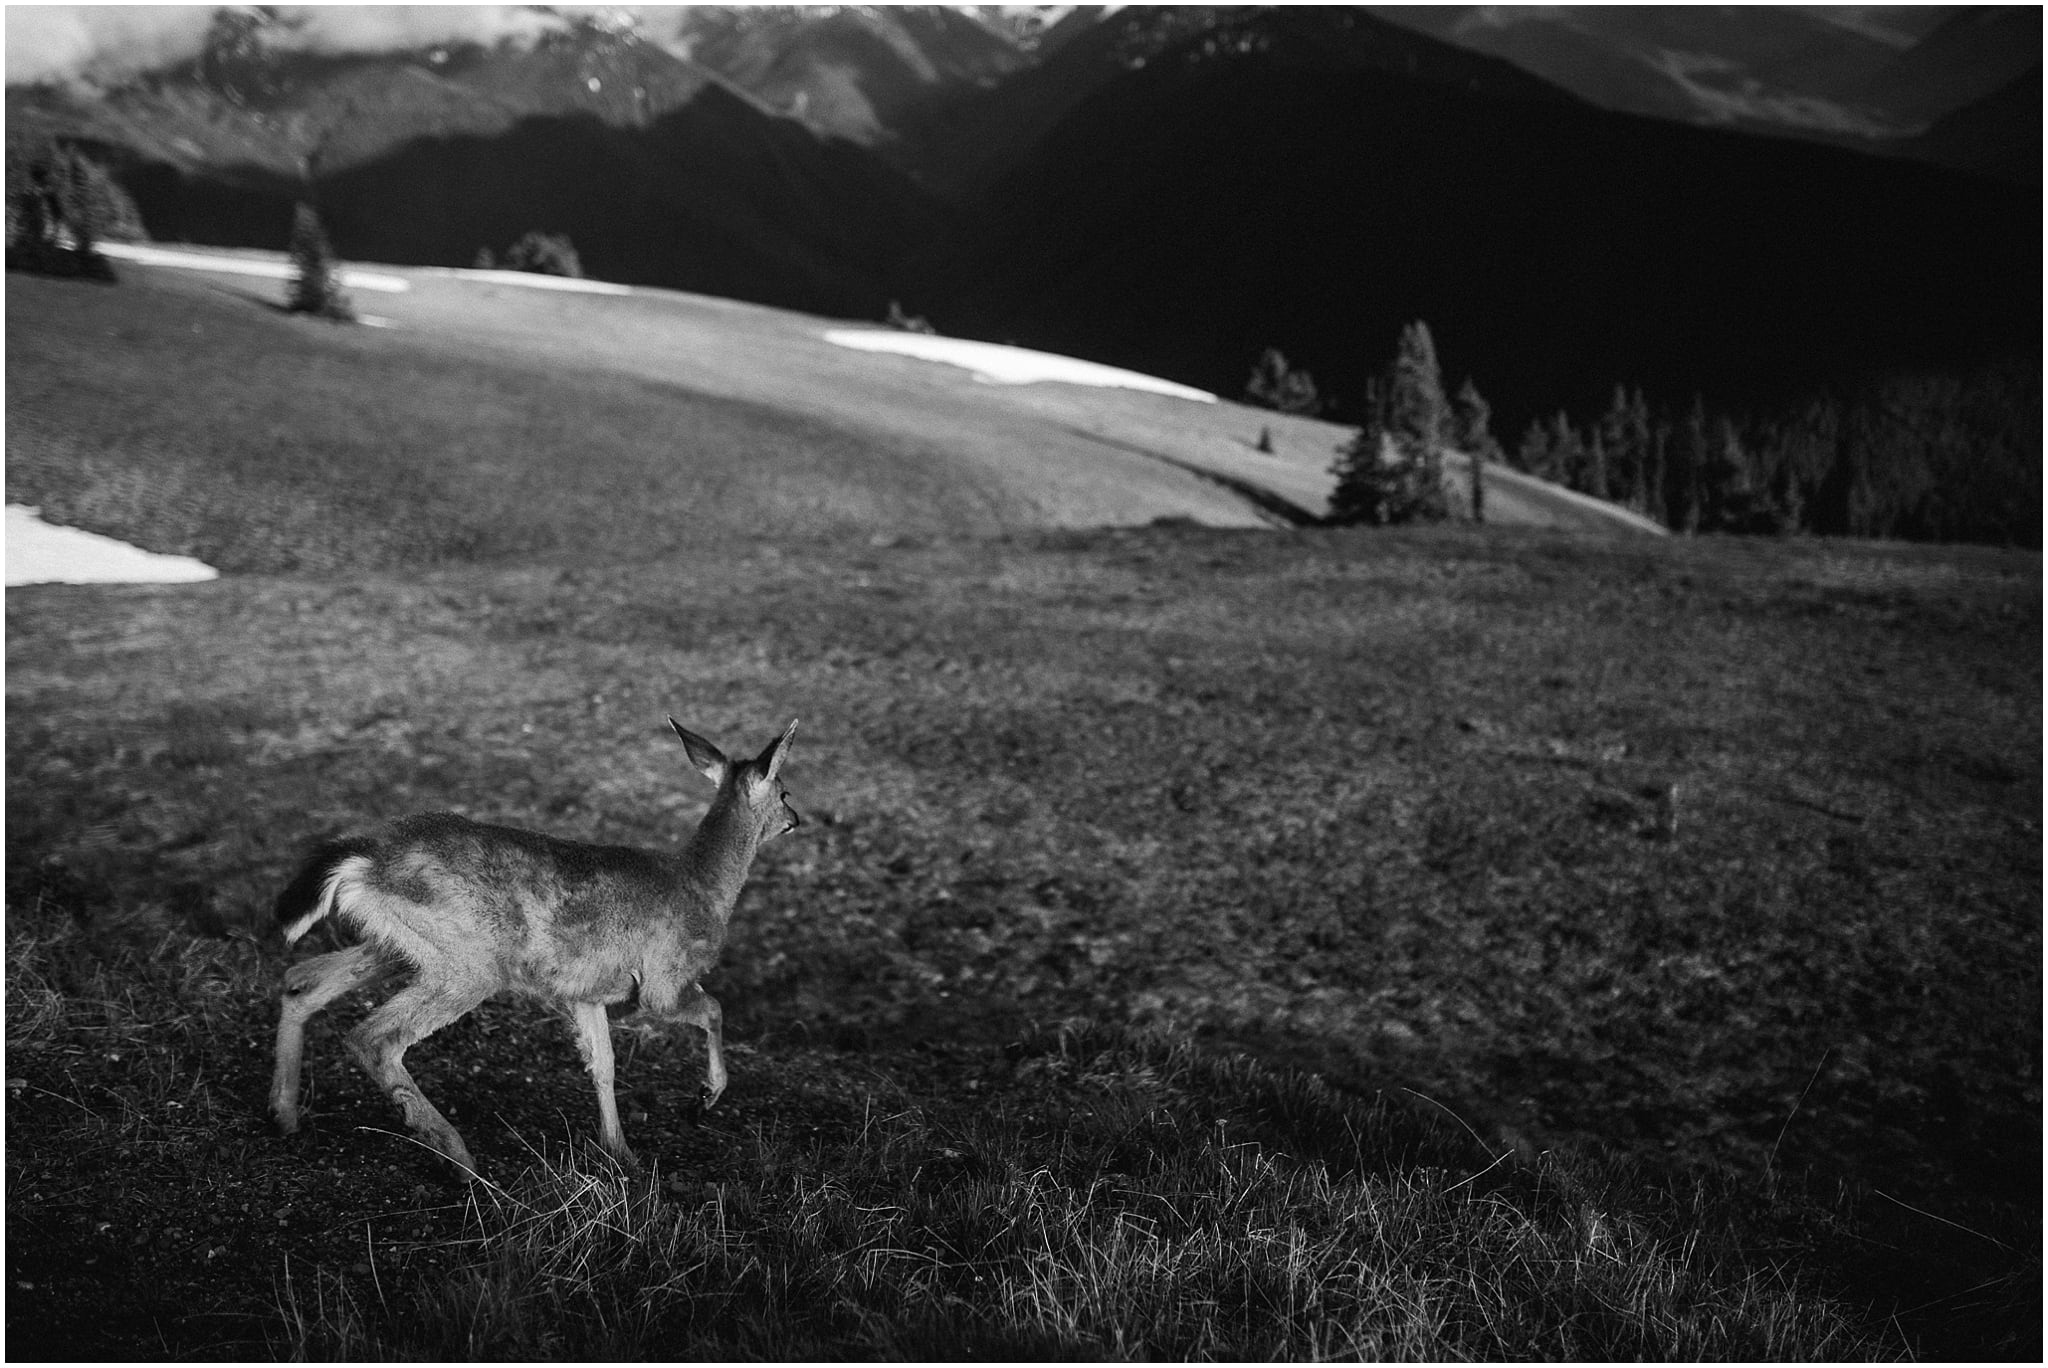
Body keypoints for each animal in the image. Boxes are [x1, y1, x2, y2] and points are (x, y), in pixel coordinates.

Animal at [258, 716, 798, 1179]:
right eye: (785, 790)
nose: (795, 817)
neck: (705, 886)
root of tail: (364, 858)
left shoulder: (586, 991)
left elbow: (603, 1065)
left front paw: (620, 1152)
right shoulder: (665, 979)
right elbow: (714, 1010)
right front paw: (703, 1098)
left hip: (399, 945)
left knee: (302, 980)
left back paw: (284, 1115)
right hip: (468, 962)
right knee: (374, 1037)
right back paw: (461, 1160)